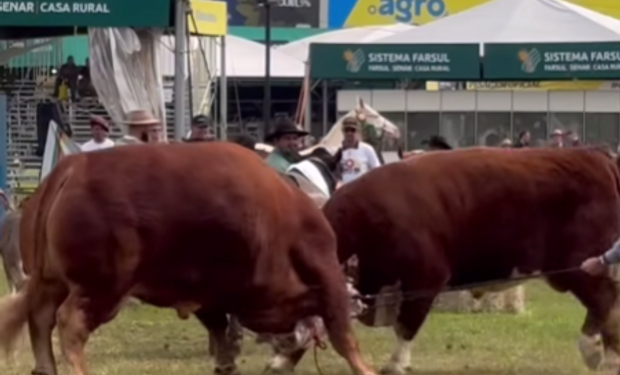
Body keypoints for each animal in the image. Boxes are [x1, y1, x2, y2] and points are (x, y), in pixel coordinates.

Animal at [0, 142, 376, 375]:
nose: (362, 301)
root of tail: (73, 168)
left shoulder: (213, 295)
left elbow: (223, 331)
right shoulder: (324, 281)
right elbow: (342, 335)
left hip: (51, 280)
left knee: (40, 318)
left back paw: (45, 367)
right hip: (101, 286)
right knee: (69, 323)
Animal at [322, 147, 620, 375]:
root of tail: (595, 155)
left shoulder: (425, 277)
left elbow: (406, 325)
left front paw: (396, 364)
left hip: (580, 265)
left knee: (604, 301)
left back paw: (597, 354)